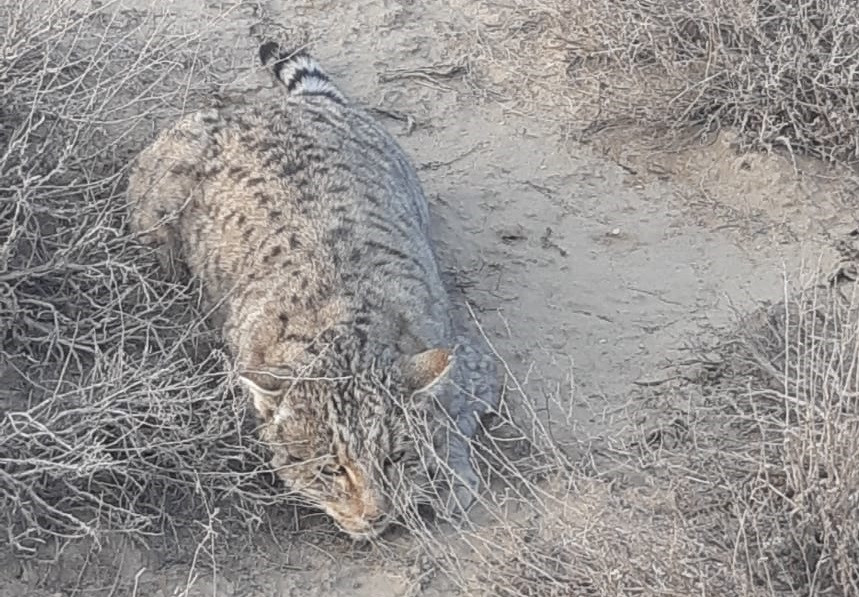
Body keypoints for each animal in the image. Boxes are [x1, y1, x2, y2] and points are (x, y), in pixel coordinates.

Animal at [122, 39, 498, 536]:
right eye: (332, 469)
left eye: (394, 458)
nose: (376, 514)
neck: (343, 324)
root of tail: (289, 104)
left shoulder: (471, 360)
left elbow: (454, 421)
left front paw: (450, 476)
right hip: (156, 211)